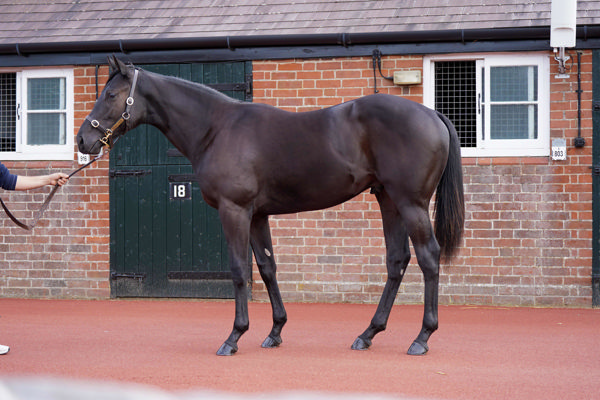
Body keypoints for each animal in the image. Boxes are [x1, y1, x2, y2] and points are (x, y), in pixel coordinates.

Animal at [77, 56, 466, 356]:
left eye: (111, 94)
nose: (83, 139)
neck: (217, 128)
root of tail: (432, 115)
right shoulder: (258, 215)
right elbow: (266, 267)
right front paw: (275, 331)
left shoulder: (234, 211)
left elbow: (238, 269)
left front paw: (234, 336)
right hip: (388, 199)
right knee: (397, 260)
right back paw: (368, 333)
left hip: (411, 203)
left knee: (428, 257)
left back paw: (422, 337)